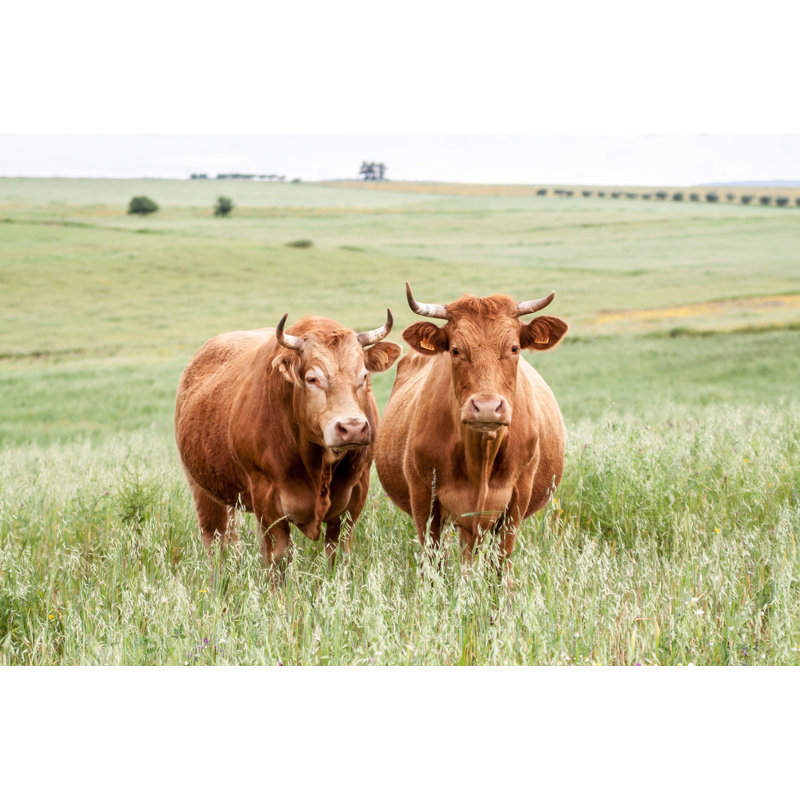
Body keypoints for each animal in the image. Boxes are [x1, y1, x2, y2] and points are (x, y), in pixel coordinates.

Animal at [175, 311, 401, 570]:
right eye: (312, 378)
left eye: (364, 375)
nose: (352, 428)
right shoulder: (267, 500)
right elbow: (279, 558)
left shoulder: (355, 495)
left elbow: (337, 554)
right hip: (203, 490)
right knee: (216, 542)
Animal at [375, 284, 568, 569]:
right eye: (455, 350)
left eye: (514, 348)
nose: (487, 407)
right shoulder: (423, 499)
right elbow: (433, 563)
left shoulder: (517, 501)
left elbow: (500, 563)